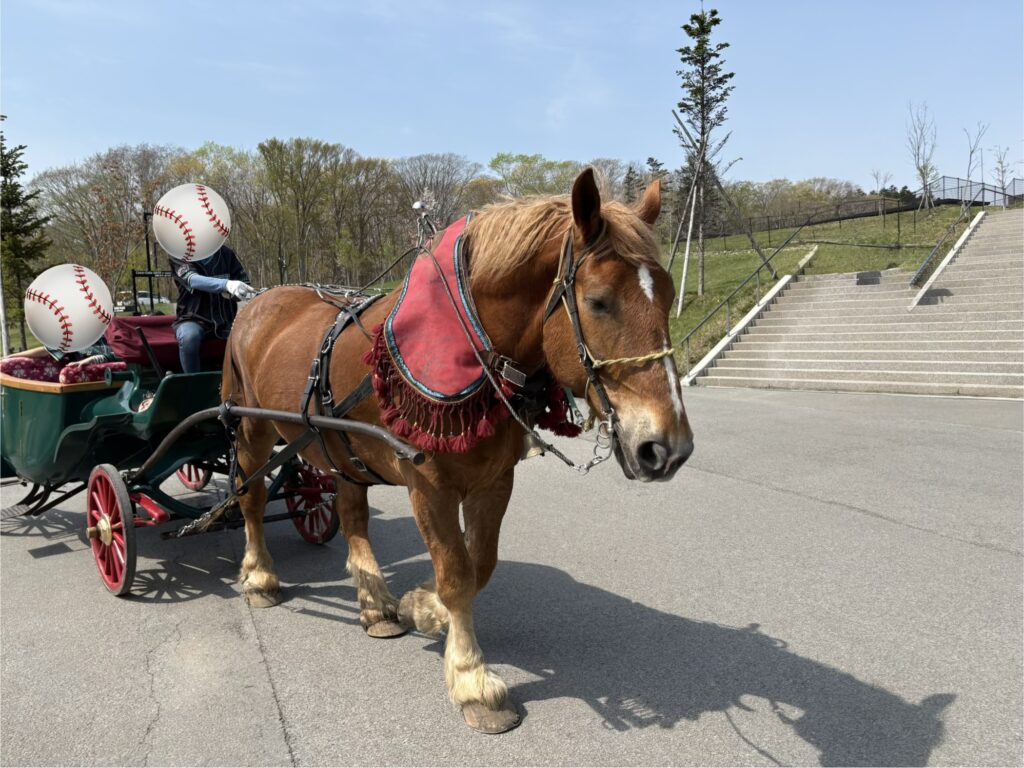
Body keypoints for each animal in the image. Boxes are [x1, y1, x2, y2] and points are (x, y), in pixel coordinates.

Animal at [222, 168, 694, 733]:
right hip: (252, 429)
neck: (473, 340)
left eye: (668, 295)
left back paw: (375, 605)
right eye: (599, 301)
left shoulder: (494, 480)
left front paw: (423, 610)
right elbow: (456, 573)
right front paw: (472, 678)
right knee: (250, 499)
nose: (667, 448)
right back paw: (260, 577)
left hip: (339, 445)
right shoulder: (429, 485)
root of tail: (258, 301)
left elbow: (479, 564)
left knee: (352, 514)